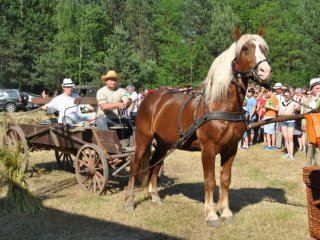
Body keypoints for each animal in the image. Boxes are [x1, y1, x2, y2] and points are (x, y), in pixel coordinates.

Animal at [124, 27, 272, 226]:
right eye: (246, 48)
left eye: (263, 49)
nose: (265, 70)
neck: (221, 104)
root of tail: (150, 97)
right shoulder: (208, 149)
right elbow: (210, 181)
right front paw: (211, 214)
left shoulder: (231, 149)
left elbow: (225, 180)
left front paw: (225, 212)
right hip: (143, 138)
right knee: (135, 165)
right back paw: (129, 201)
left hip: (163, 143)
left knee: (155, 164)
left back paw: (154, 196)